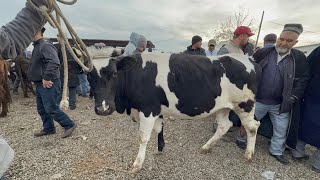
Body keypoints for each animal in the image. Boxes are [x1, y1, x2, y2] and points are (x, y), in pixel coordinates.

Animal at [89, 51, 262, 172]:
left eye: (114, 73)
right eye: (89, 75)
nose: (103, 108)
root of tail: (249, 59)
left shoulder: (148, 109)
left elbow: (143, 137)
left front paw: (137, 164)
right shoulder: (156, 110)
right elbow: (159, 128)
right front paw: (160, 149)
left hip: (244, 104)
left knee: (252, 127)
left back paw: (248, 155)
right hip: (222, 107)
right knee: (224, 125)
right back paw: (206, 147)